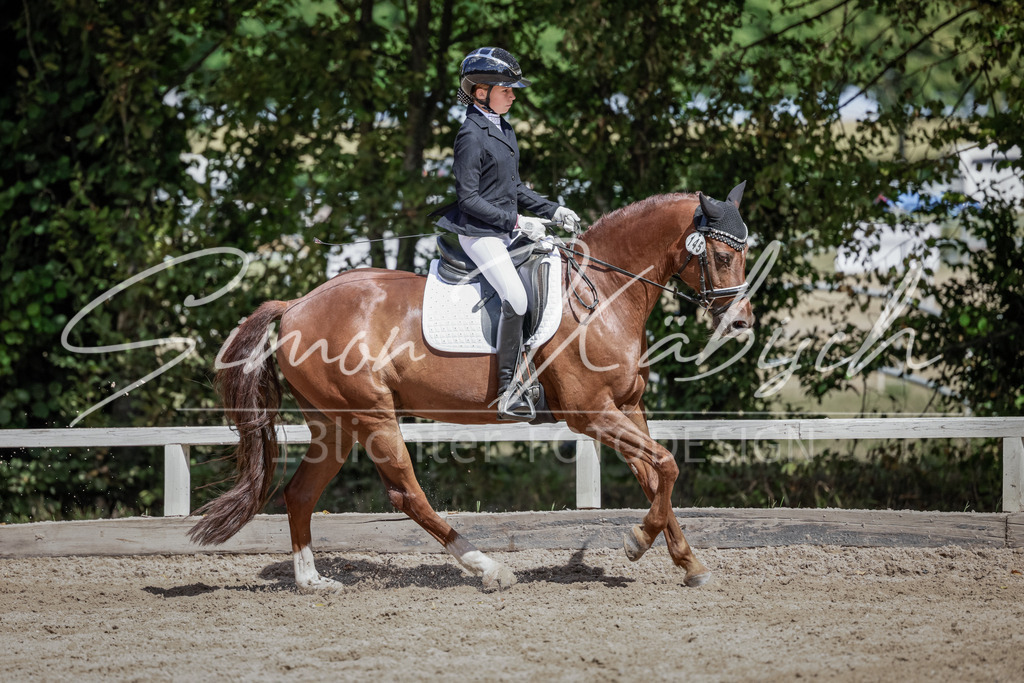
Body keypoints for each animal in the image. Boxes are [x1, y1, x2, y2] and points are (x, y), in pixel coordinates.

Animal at [188, 183, 755, 591]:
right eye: (724, 257)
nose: (742, 323)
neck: (604, 292)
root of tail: (296, 305)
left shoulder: (628, 407)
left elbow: (655, 473)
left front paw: (688, 562)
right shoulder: (590, 412)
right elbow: (668, 464)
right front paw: (637, 542)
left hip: (336, 423)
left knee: (301, 493)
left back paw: (312, 582)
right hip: (372, 415)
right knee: (406, 493)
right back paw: (488, 568)